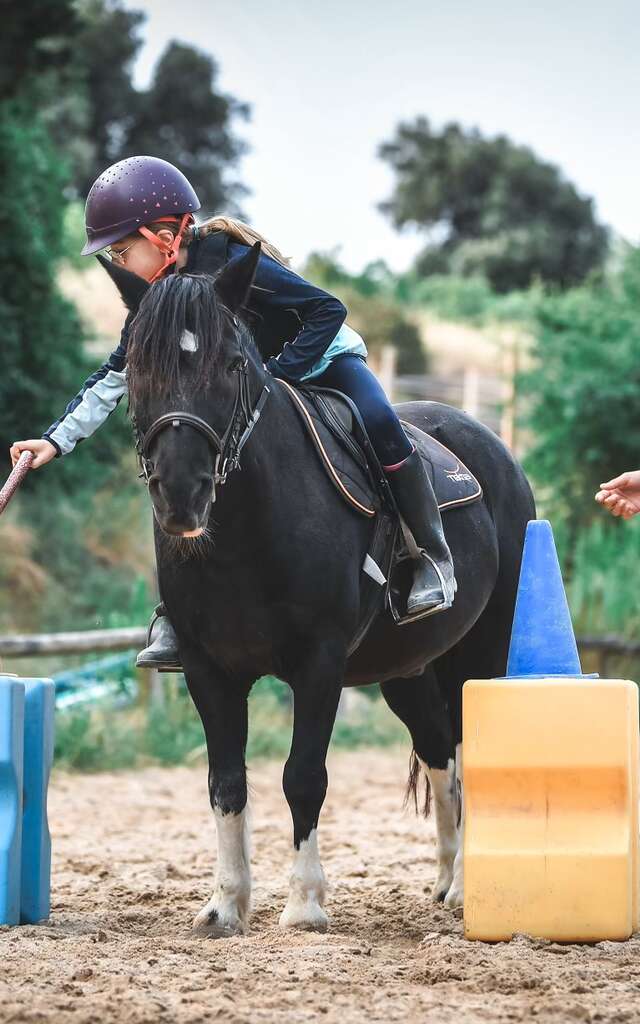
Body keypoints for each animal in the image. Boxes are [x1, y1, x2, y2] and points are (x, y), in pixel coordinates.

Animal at [103, 245, 532, 937]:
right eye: (137, 366)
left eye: (231, 362)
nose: (182, 492)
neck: (247, 531)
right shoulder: (206, 667)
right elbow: (226, 781)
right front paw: (225, 905)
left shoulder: (319, 662)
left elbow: (303, 776)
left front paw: (304, 903)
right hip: (408, 671)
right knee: (441, 755)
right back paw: (446, 882)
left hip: (479, 656)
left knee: (470, 752)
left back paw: (469, 886)